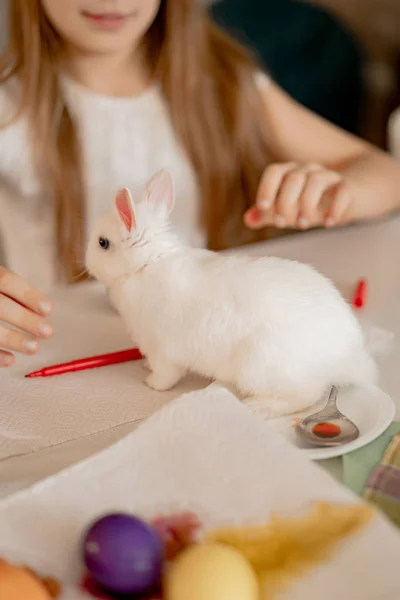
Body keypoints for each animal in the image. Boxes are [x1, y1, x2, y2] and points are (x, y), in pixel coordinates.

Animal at [86, 169, 376, 418]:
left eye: (102, 243)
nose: (86, 262)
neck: (147, 264)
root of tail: (349, 357)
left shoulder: (163, 350)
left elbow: (166, 374)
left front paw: (151, 382)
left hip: (261, 367)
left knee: (305, 397)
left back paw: (257, 407)